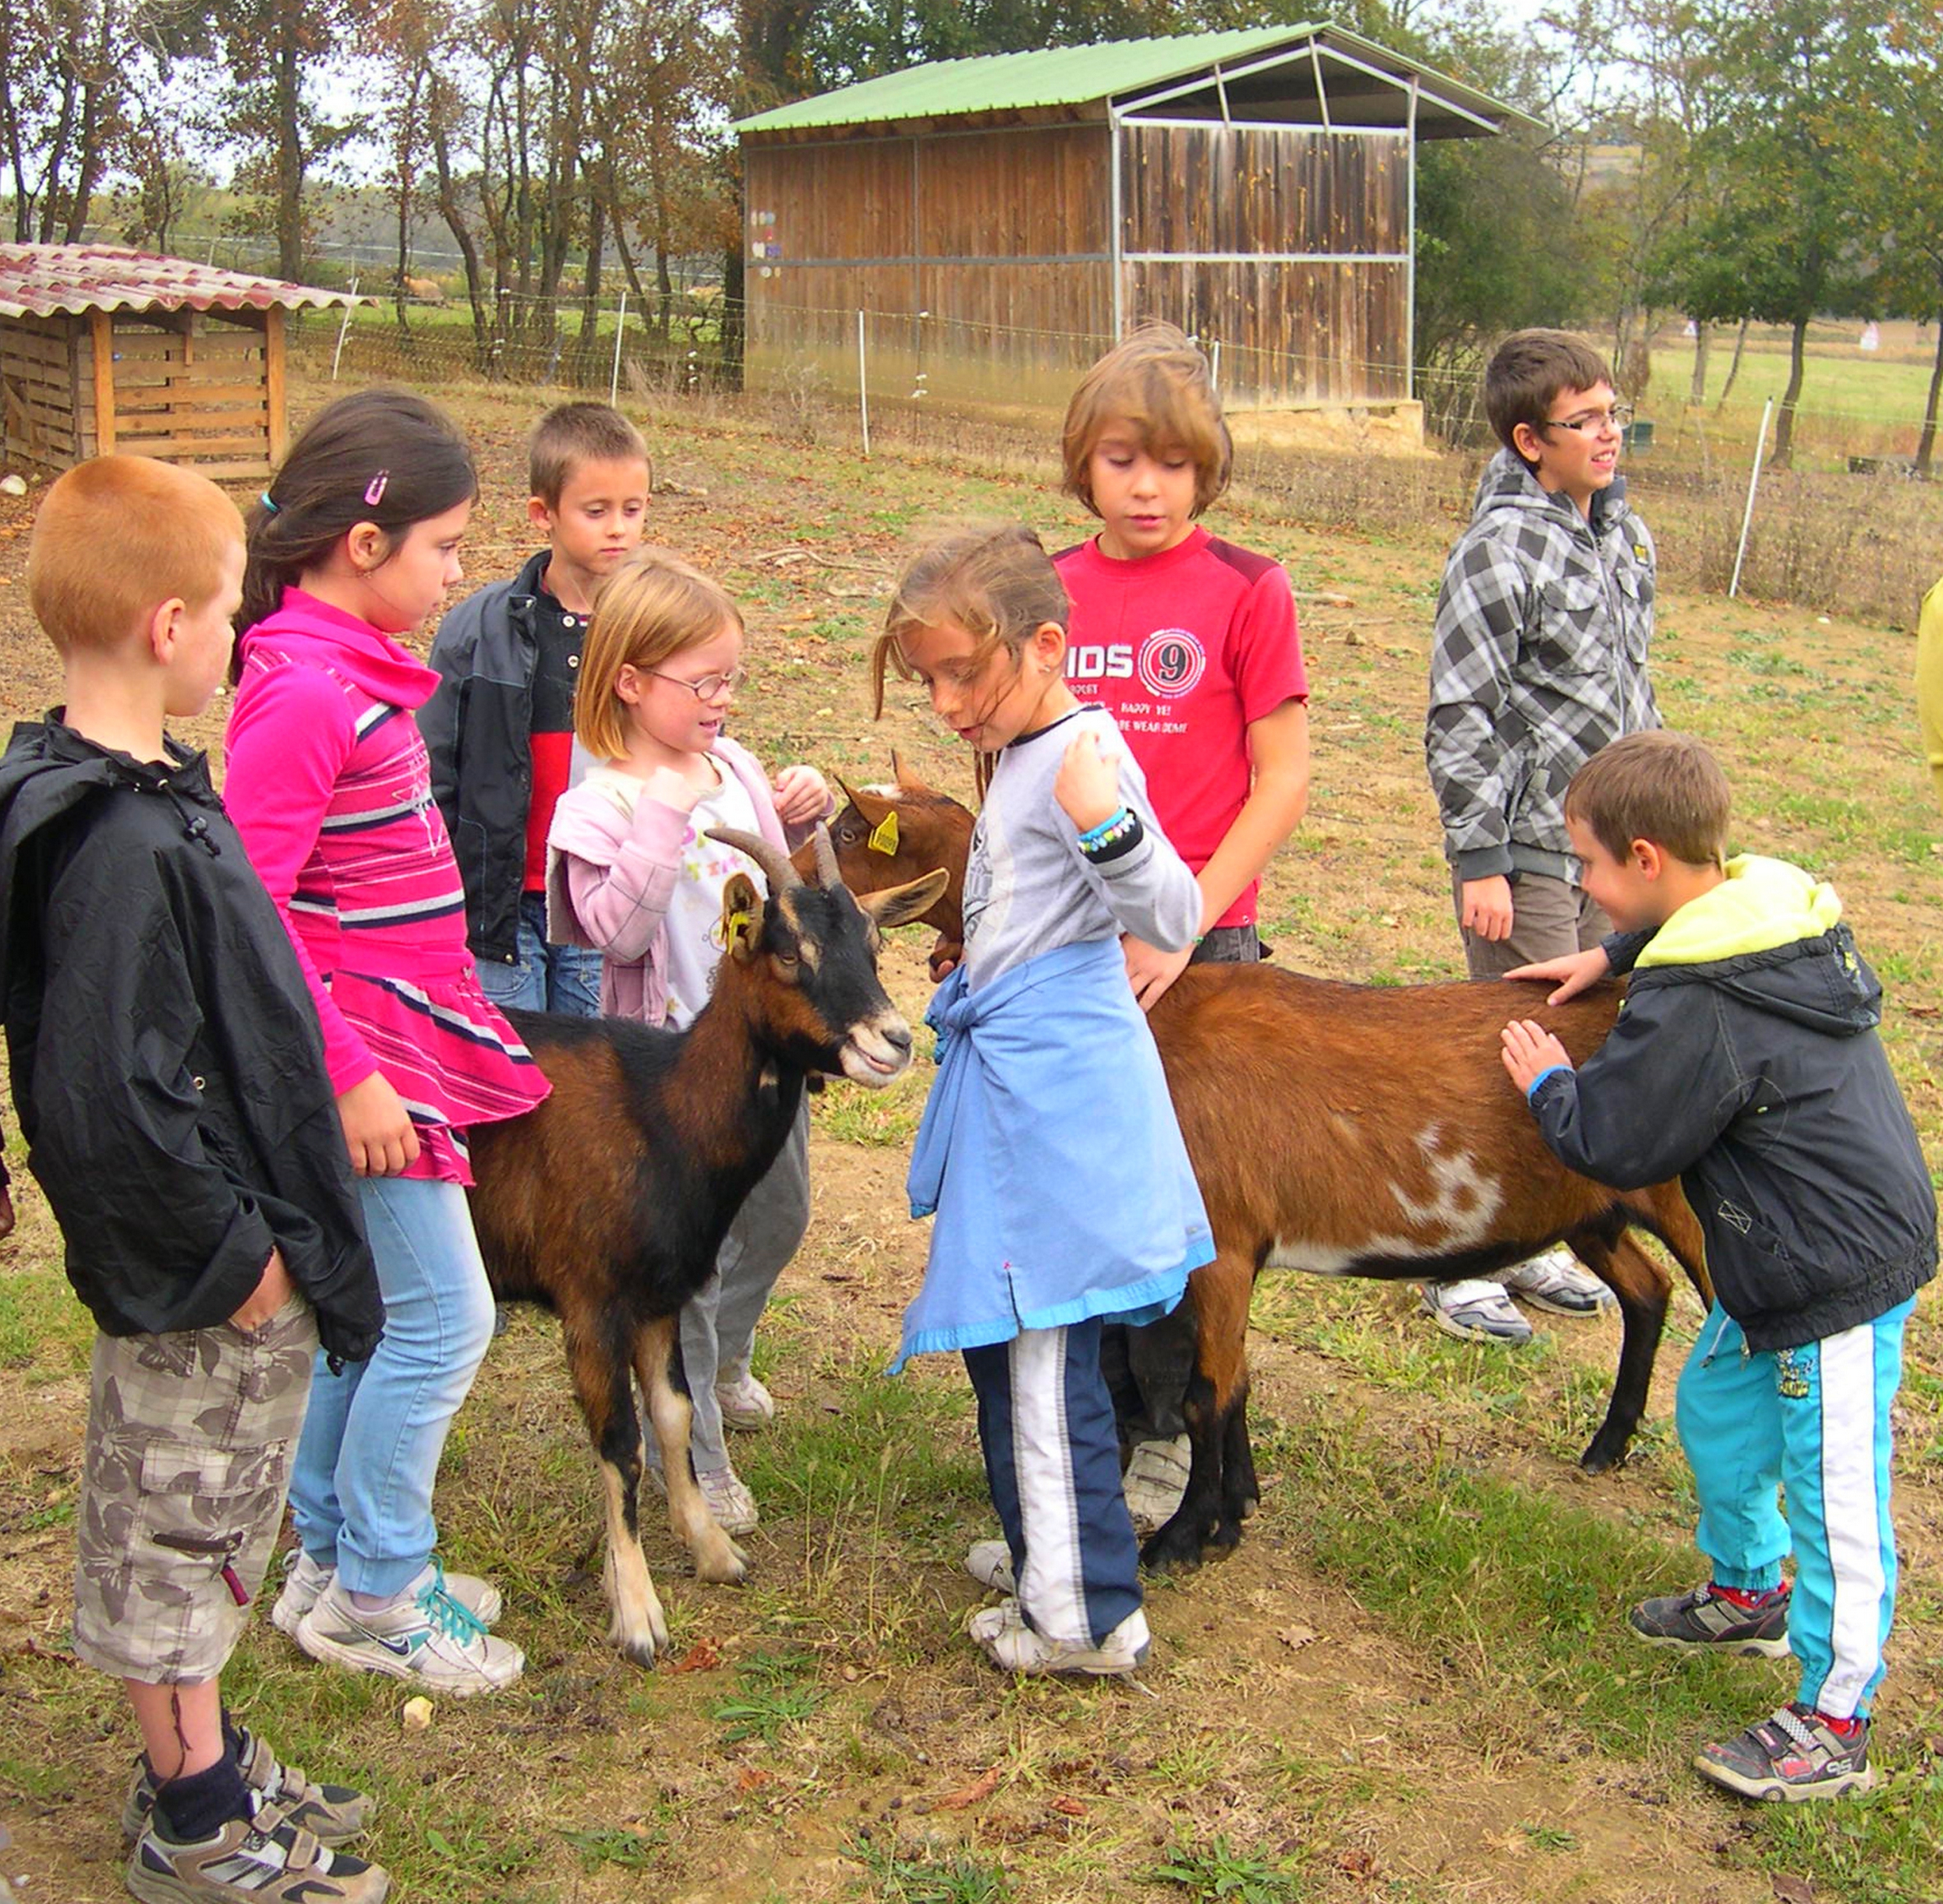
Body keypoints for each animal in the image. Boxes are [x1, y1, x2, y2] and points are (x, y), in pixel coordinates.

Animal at [457, 823, 940, 1655]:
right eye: (789, 951)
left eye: (876, 946)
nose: (895, 1041)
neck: (659, 1112)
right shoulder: (591, 1303)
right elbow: (620, 1442)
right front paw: (637, 1611)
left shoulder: (662, 1295)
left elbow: (674, 1413)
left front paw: (713, 1549)